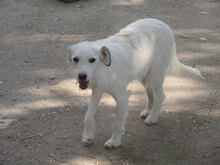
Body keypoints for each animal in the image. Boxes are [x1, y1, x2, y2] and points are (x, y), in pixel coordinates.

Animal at [66, 18, 204, 148]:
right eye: (75, 59)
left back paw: (152, 118)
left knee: (160, 96)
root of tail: (164, 25)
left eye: (92, 60)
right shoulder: (97, 91)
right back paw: (148, 111)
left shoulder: (122, 98)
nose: (81, 77)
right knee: (150, 93)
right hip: (144, 76)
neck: (102, 68)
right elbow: (88, 116)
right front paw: (87, 137)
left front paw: (114, 142)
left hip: (156, 76)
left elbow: (117, 122)